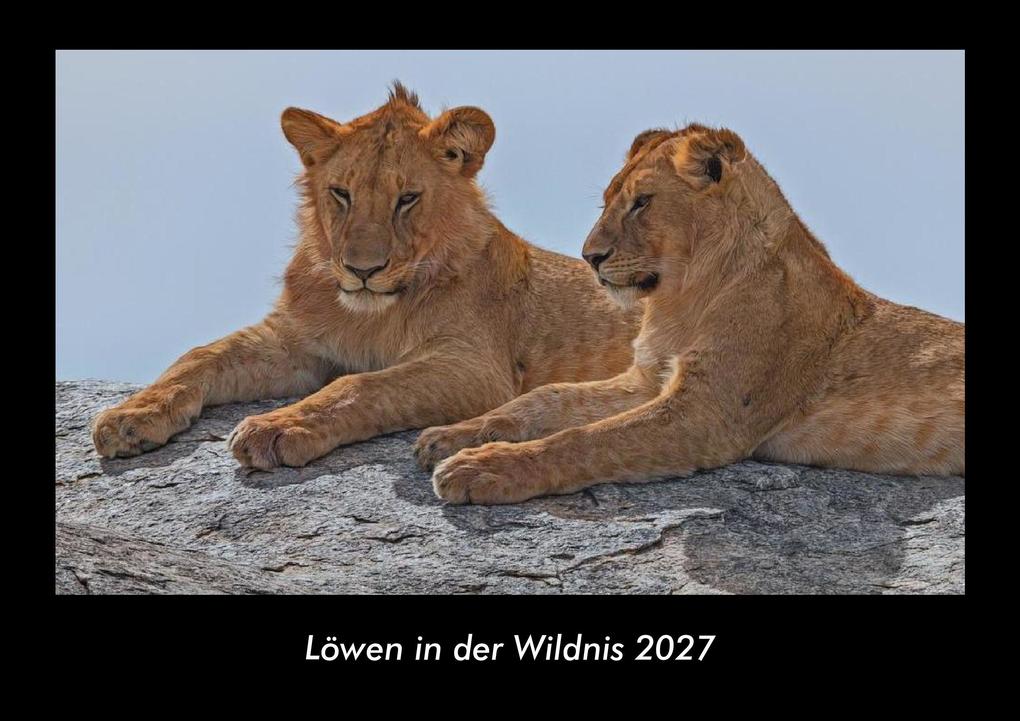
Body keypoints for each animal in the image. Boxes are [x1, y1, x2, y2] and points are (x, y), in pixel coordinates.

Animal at [91, 84, 640, 468]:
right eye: (341, 193)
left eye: (407, 198)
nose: (362, 270)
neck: (369, 314)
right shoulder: (295, 343)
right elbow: (200, 355)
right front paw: (130, 416)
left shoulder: (477, 369)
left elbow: (359, 385)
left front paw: (276, 427)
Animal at [421, 123, 965, 504]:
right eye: (606, 202)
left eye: (642, 202)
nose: (589, 256)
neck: (683, 299)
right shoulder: (646, 380)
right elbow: (544, 400)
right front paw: (451, 435)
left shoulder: (707, 414)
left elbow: (585, 440)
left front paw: (482, 469)